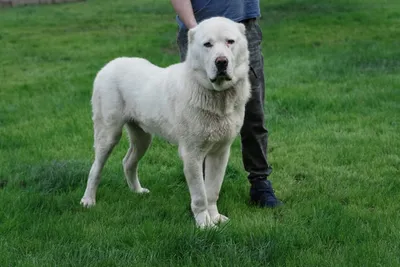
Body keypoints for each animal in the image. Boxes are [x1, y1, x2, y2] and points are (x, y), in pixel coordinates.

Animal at [79, 17, 250, 230]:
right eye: (207, 44)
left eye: (230, 42)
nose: (221, 62)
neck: (216, 95)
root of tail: (109, 65)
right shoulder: (192, 154)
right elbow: (200, 195)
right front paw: (204, 224)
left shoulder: (220, 152)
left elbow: (212, 191)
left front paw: (215, 217)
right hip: (108, 134)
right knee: (96, 168)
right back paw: (88, 200)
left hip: (143, 138)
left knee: (128, 162)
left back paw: (137, 191)